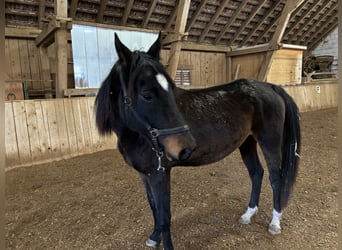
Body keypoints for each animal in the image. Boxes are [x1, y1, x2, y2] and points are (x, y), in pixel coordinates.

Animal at [95, 33, 300, 250]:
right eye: (146, 94)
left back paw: (275, 223)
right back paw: (248, 214)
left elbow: (165, 215)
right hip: (247, 142)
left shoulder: (160, 173)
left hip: (269, 140)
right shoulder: (145, 174)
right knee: (256, 173)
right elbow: (154, 208)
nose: (186, 147)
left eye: (170, 90)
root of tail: (270, 86)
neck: (138, 135)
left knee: (275, 177)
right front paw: (154, 237)